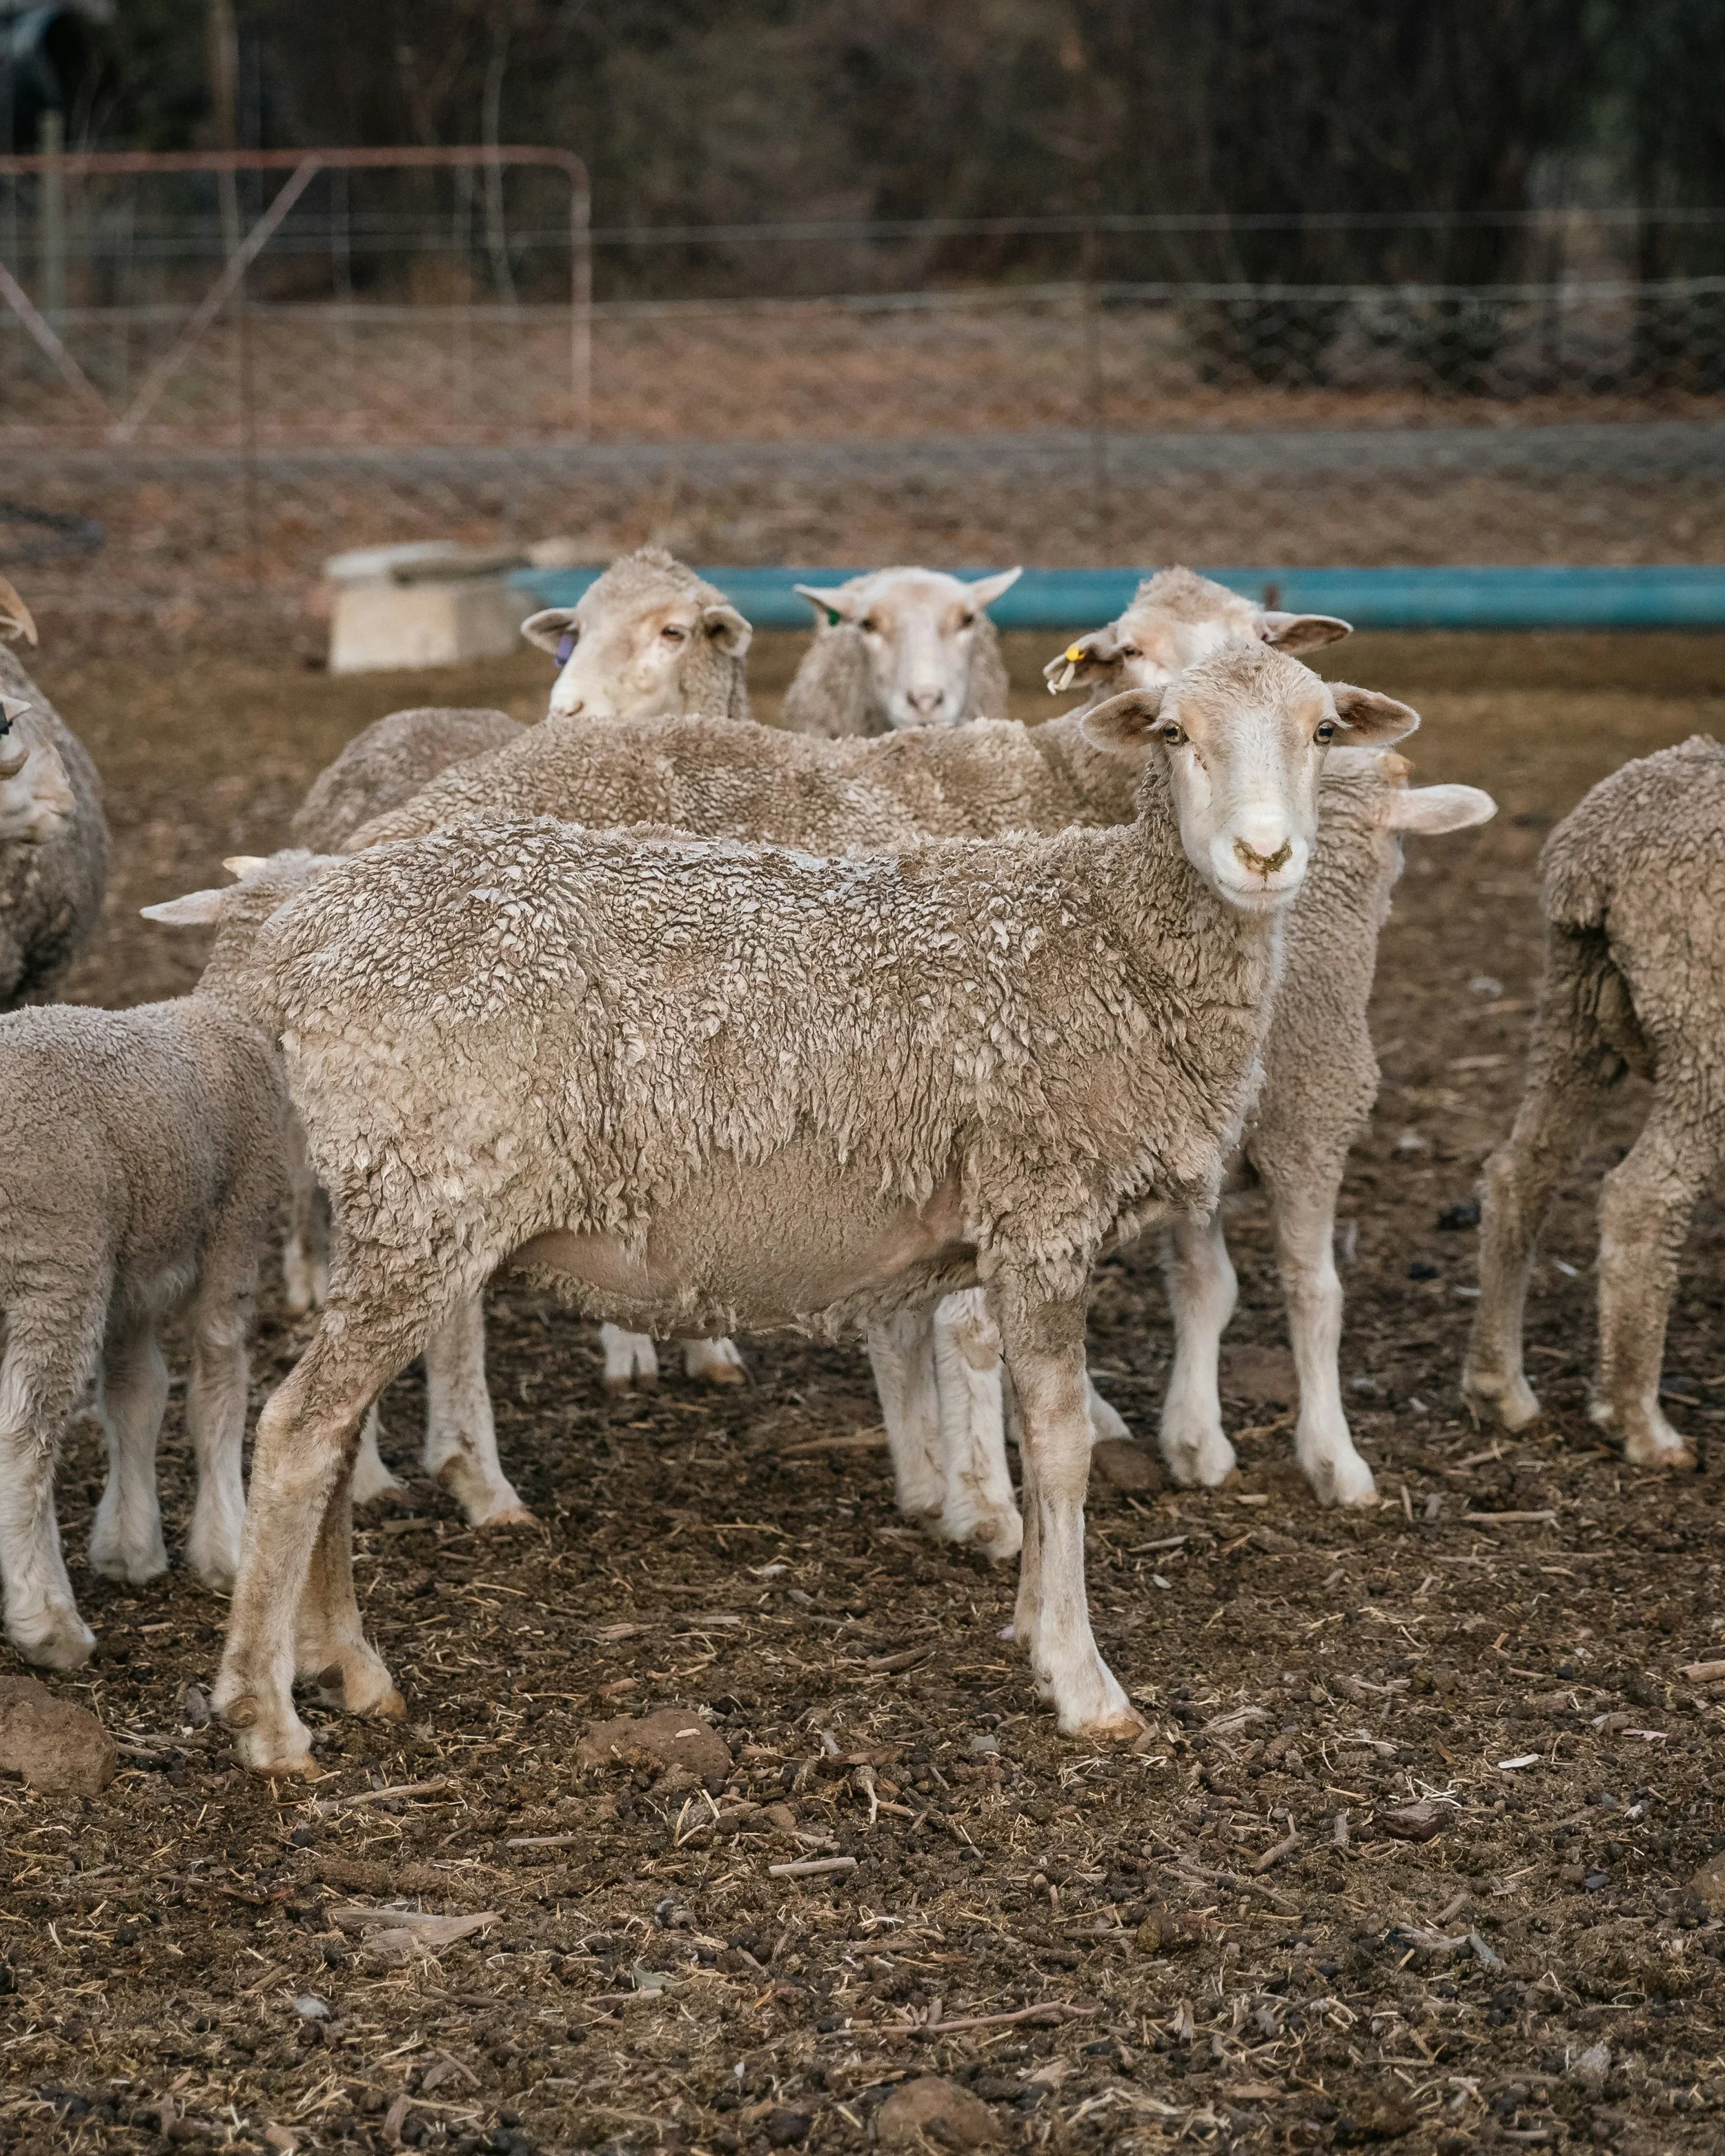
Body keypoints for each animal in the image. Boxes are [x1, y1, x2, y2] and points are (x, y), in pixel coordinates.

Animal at [0, 854, 317, 1671]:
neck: (238, 1021)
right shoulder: (236, 1237)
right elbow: (217, 1387)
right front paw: (227, 1546)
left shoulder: (134, 1277)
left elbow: (136, 1395)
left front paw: (129, 1549)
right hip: (54, 1260)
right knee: (23, 1439)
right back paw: (48, 1621)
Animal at [204, 647, 1420, 1776]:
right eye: (1172, 732)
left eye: (1321, 730)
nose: (1264, 856)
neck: (1114, 937)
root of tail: (298, 938)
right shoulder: (1044, 1211)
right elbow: (1060, 1443)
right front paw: (1082, 1680)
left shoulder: (1003, 1232)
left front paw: (1030, 1626)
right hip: (427, 1198)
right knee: (299, 1428)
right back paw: (266, 1713)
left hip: (405, 1207)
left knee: (333, 1427)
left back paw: (351, 1667)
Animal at [1462, 736, 1725, 1467]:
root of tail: (1597, 857)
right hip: (1703, 1021)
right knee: (1645, 1197)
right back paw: (1638, 1422)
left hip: (1573, 1000)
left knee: (1522, 1170)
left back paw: (1500, 1389)